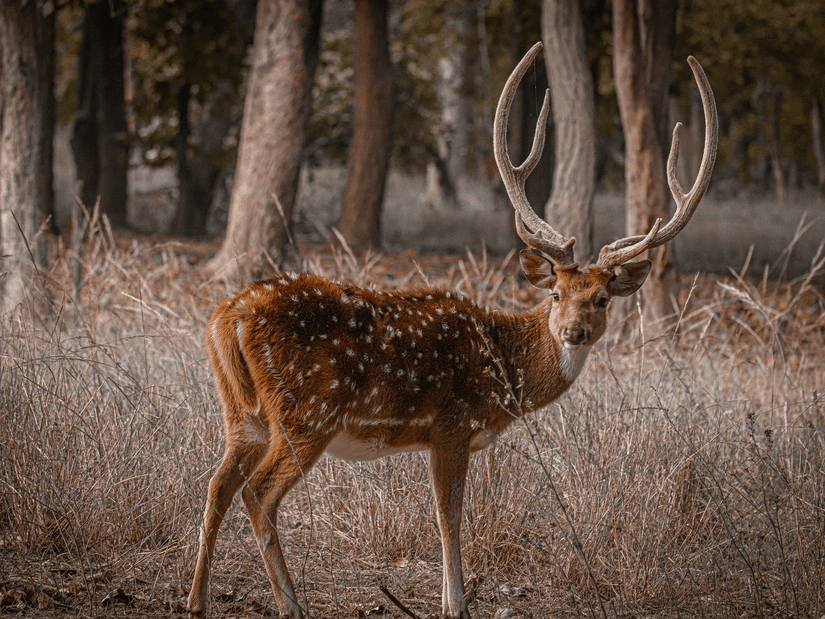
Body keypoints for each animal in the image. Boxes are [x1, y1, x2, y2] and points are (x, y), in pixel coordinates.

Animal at [188, 42, 718, 619]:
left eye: (601, 299)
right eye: (556, 293)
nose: (574, 331)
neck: (502, 368)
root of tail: (228, 317)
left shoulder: (437, 435)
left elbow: (443, 515)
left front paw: (448, 599)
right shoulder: (450, 424)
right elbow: (449, 518)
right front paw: (456, 605)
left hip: (241, 412)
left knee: (216, 485)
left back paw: (197, 599)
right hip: (307, 411)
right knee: (257, 492)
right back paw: (290, 604)